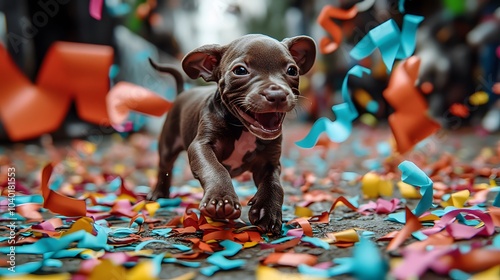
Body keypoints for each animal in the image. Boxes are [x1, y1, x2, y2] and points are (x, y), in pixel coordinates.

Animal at [148, 34, 316, 234]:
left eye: (292, 70)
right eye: (240, 70)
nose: (276, 95)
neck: (242, 128)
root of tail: (182, 93)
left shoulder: (269, 162)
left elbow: (274, 184)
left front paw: (267, 211)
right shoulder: (201, 146)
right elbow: (215, 168)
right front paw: (221, 199)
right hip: (167, 145)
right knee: (164, 168)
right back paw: (160, 194)